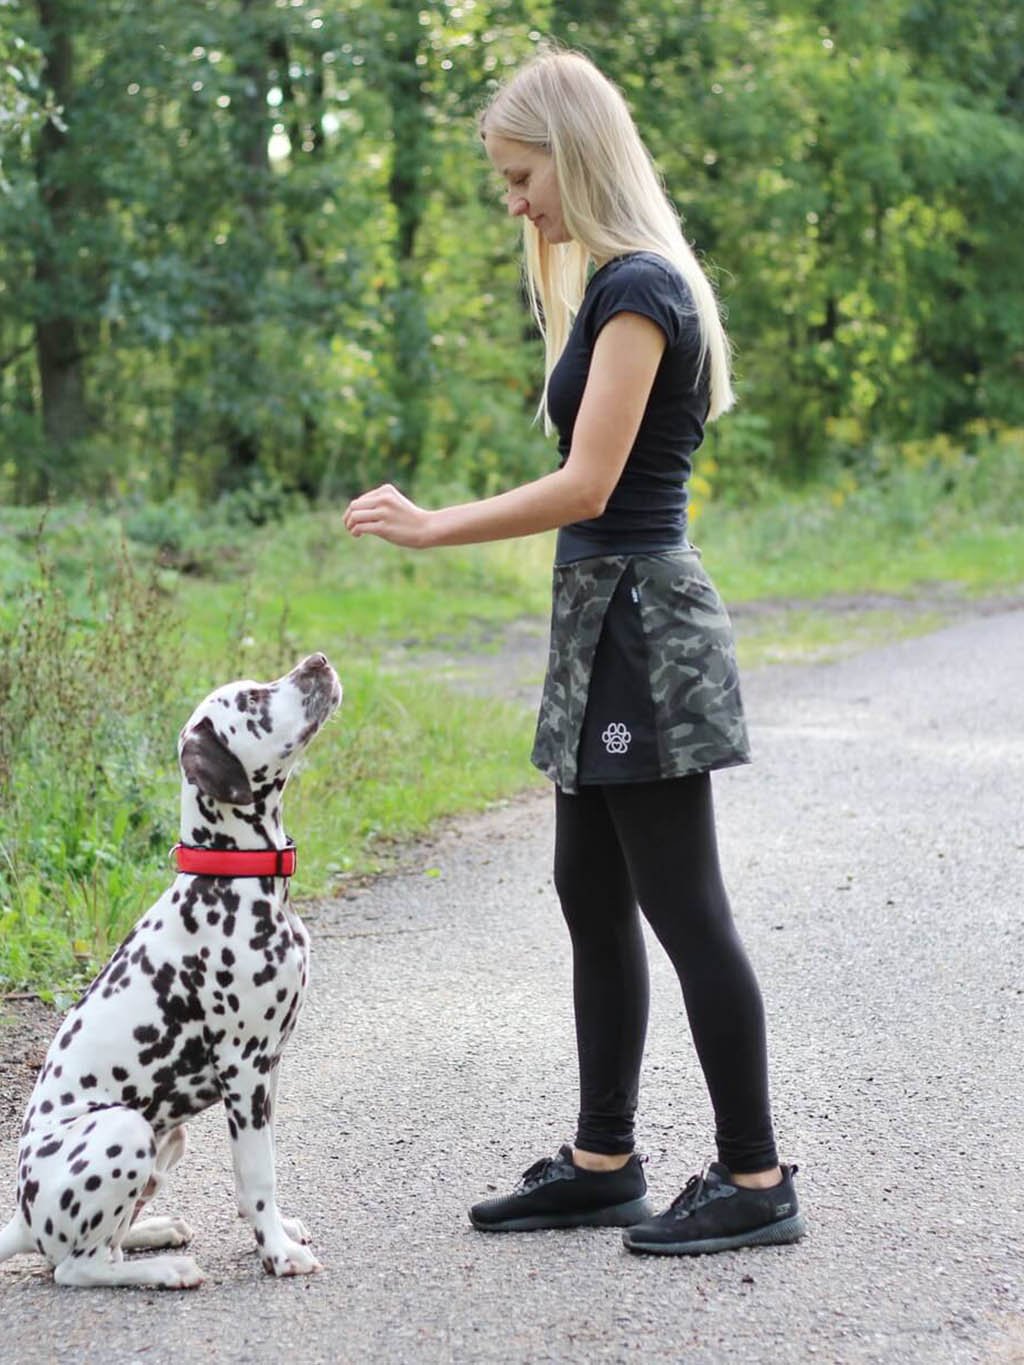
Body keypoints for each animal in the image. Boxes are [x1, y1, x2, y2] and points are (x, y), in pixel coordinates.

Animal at [0, 652, 345, 1288]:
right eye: (253, 699)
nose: (318, 661)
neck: (232, 880)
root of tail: (23, 1217)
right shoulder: (244, 1067)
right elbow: (258, 1175)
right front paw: (278, 1254)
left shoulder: (269, 1070)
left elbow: (256, 1174)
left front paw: (277, 1232)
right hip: (124, 1129)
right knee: (76, 1268)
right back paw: (166, 1269)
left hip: (167, 1138)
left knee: (102, 1246)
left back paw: (155, 1232)